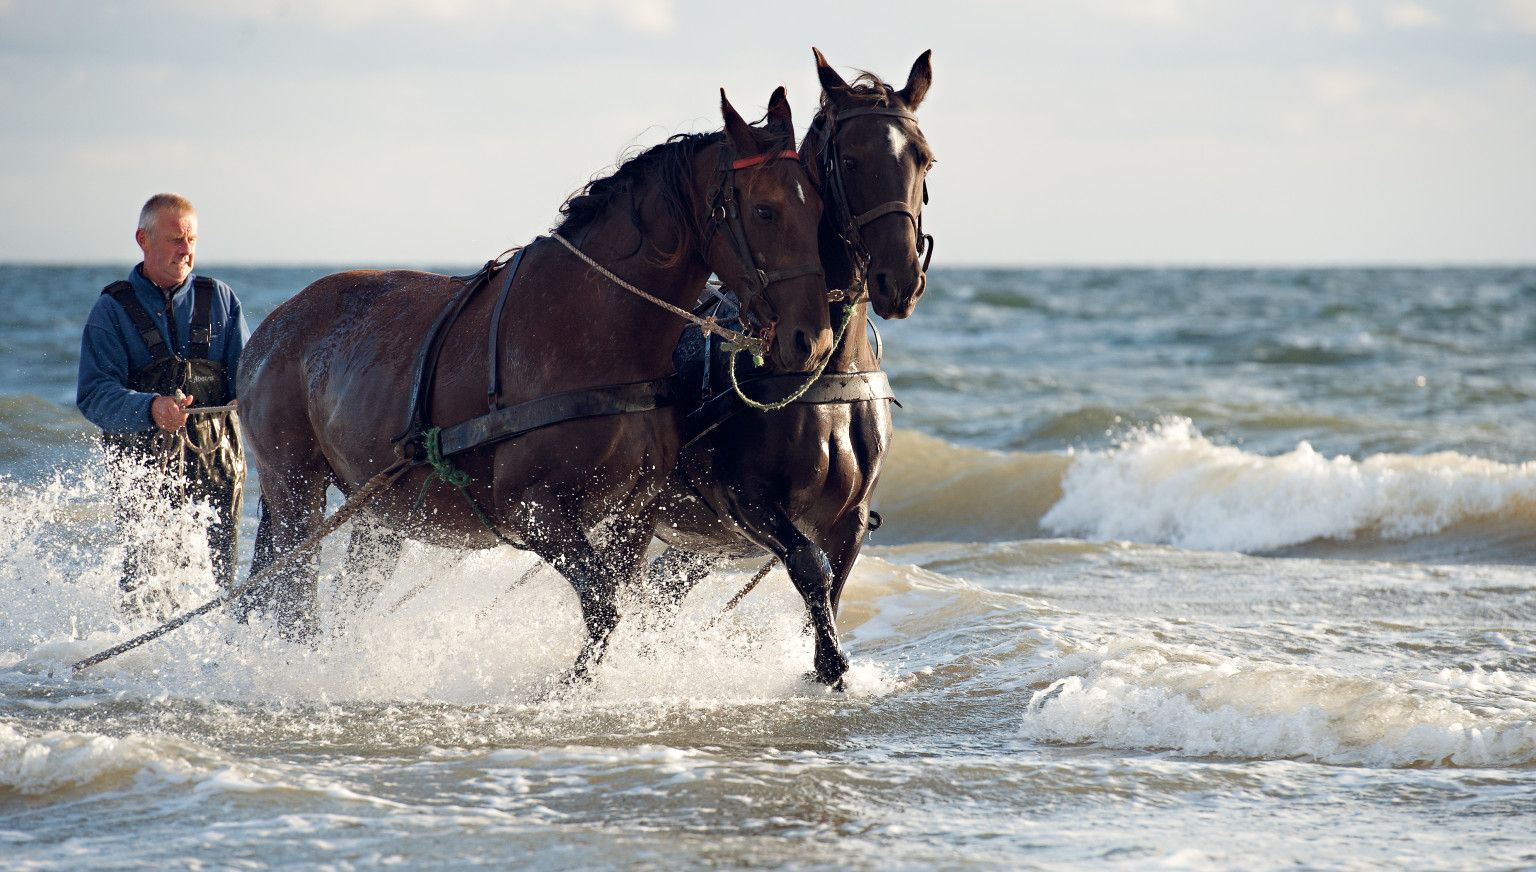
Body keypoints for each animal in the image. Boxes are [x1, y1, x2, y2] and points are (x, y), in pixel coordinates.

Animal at [236, 86, 829, 681]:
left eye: (818, 206)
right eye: (765, 210)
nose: (813, 341)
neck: (595, 334)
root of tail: (269, 328)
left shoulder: (634, 514)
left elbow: (619, 602)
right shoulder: (534, 510)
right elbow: (604, 607)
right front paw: (566, 686)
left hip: (378, 512)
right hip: (295, 490)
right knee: (293, 600)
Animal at [651, 49, 933, 687]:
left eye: (923, 157)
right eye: (850, 160)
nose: (899, 282)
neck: (823, 375)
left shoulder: (850, 517)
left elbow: (833, 581)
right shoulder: (743, 499)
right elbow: (809, 567)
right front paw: (829, 665)